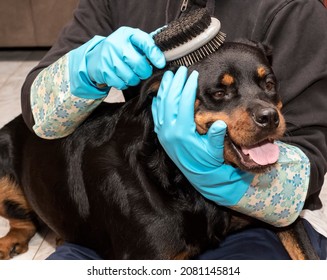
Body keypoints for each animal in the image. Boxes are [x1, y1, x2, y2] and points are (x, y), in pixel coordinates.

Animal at [0, 40, 316, 260]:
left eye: (270, 84)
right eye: (218, 93)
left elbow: (306, 253)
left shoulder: (282, 216)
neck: (176, 177)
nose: (270, 118)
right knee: (22, 220)